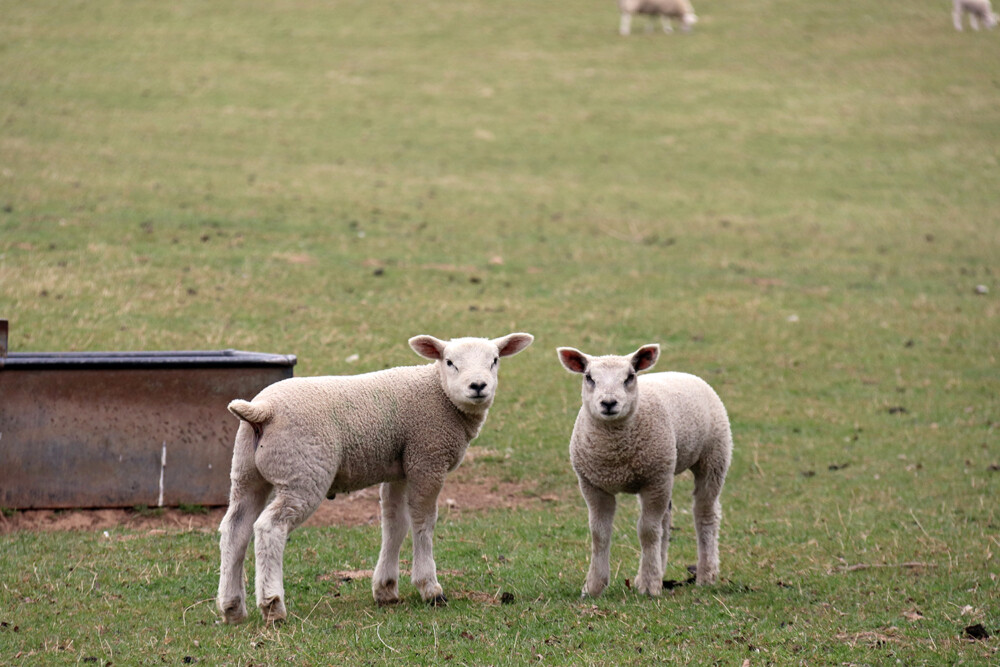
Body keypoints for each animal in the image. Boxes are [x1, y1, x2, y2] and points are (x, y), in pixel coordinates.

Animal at [216, 332, 534, 624]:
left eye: (495, 361)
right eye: (449, 362)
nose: (478, 386)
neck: (440, 395)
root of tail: (262, 411)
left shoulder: (400, 468)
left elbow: (394, 523)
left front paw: (386, 589)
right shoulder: (427, 459)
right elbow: (423, 522)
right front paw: (430, 588)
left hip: (246, 473)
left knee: (236, 528)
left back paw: (232, 607)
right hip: (303, 473)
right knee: (270, 528)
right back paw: (273, 605)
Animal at [557, 344, 732, 597]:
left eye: (630, 376)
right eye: (589, 377)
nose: (608, 403)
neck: (615, 454)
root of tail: (681, 373)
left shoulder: (655, 481)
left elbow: (647, 531)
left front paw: (650, 585)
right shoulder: (593, 485)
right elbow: (599, 533)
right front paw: (594, 586)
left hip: (712, 457)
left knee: (705, 514)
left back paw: (706, 574)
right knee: (665, 522)